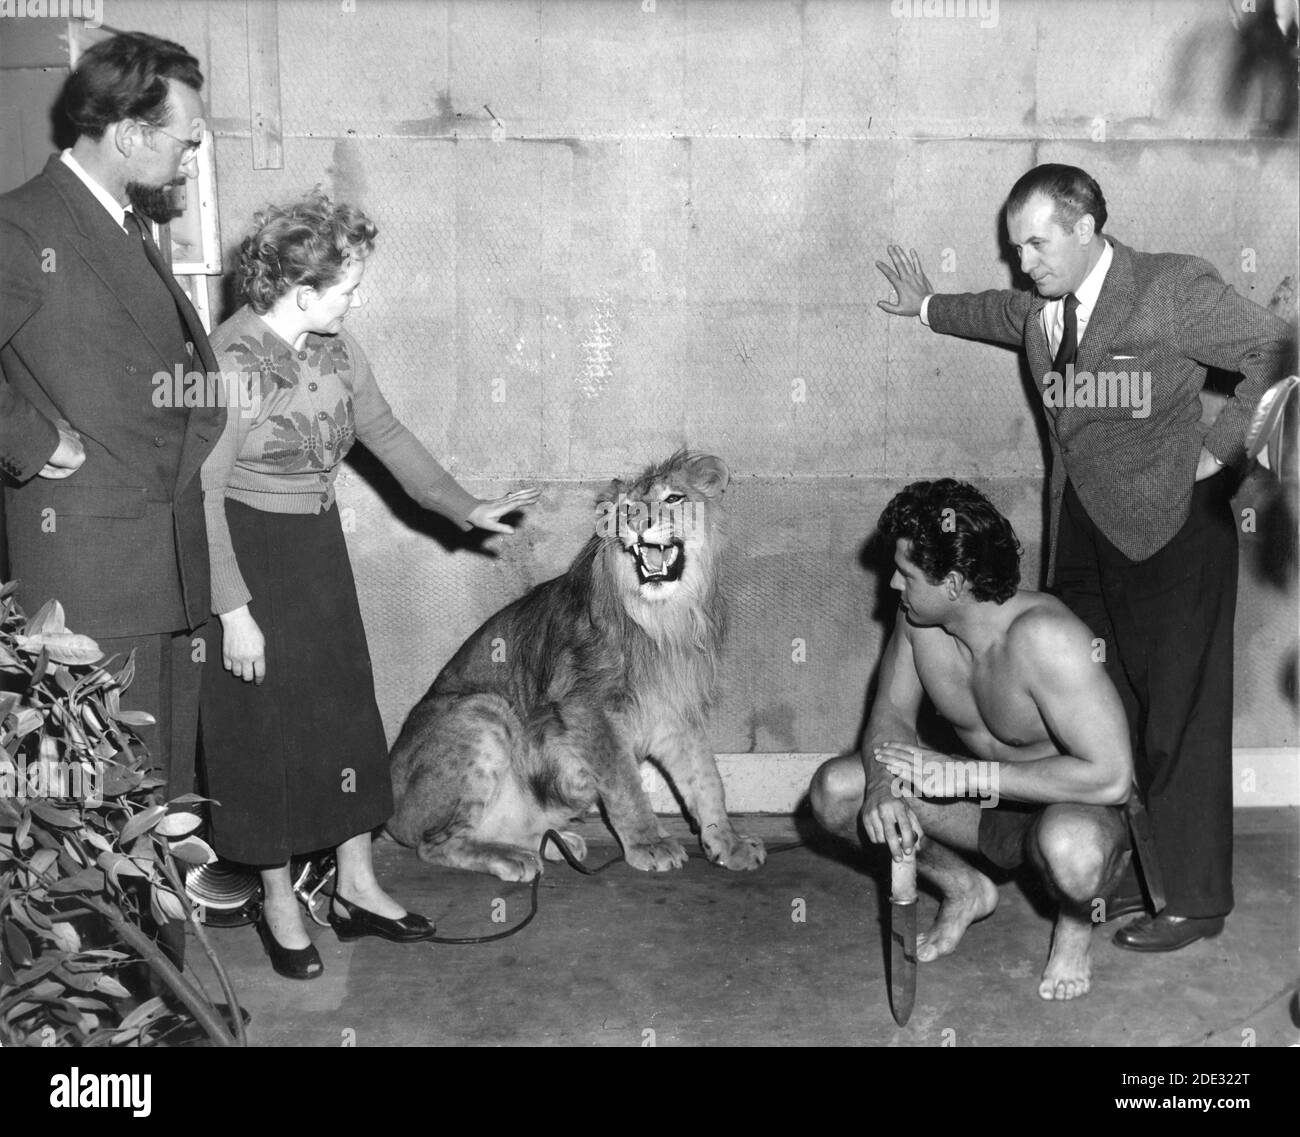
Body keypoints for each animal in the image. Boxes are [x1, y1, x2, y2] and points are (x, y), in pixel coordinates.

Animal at [390, 452, 764, 878]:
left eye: (673, 499)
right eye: (624, 510)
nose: (637, 524)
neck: (664, 620)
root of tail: (390, 814)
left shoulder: (676, 711)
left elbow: (708, 781)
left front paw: (730, 845)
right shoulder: (588, 709)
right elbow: (625, 784)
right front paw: (649, 845)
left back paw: (556, 843)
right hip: (483, 707)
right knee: (434, 844)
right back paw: (512, 857)